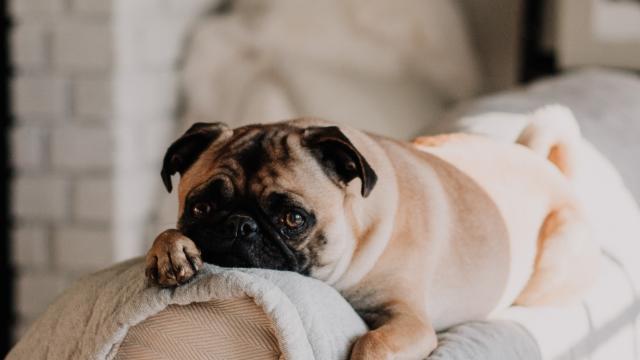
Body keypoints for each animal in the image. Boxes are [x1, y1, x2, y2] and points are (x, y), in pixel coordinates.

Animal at [145, 111, 600, 358]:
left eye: (293, 218)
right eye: (201, 208)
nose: (241, 225)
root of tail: (543, 163)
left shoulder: (411, 322)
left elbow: (371, 344)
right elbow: (166, 233)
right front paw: (170, 250)